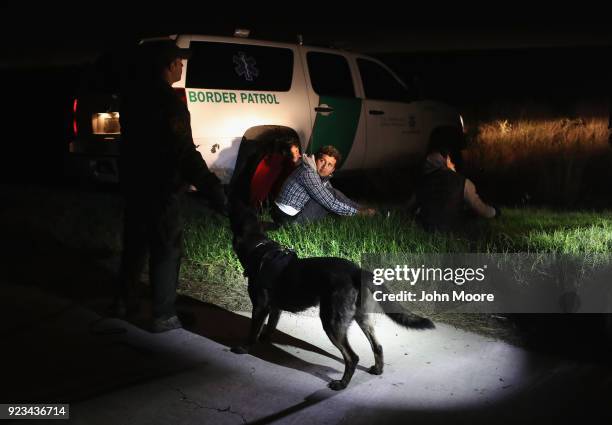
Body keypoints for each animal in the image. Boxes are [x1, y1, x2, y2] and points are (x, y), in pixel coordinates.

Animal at [230, 200, 436, 390]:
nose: (232, 206)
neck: (260, 249)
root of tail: (357, 271)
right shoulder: (275, 309)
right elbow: (269, 327)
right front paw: (265, 338)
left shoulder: (260, 307)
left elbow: (253, 331)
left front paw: (245, 348)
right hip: (362, 318)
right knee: (377, 346)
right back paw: (378, 369)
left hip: (331, 322)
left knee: (352, 357)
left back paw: (342, 384)